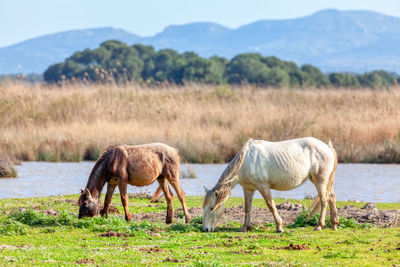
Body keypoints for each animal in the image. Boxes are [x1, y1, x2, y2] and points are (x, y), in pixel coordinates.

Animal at [203, 137, 338, 233]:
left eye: (211, 208)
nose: (205, 229)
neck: (246, 161)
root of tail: (328, 148)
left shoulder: (263, 187)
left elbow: (271, 206)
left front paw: (279, 227)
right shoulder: (248, 189)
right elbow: (247, 208)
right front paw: (244, 228)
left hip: (320, 181)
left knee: (324, 200)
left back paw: (319, 226)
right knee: (331, 197)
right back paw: (334, 224)